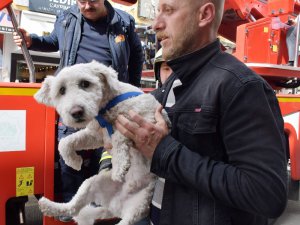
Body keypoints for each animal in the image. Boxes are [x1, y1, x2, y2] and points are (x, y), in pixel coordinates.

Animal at [34, 60, 170, 225]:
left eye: (85, 83)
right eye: (61, 90)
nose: (76, 112)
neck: (105, 110)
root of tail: (115, 206)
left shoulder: (147, 119)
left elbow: (118, 136)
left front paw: (119, 166)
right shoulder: (96, 136)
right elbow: (66, 142)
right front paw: (74, 161)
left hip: (137, 207)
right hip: (91, 184)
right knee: (73, 207)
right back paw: (49, 206)